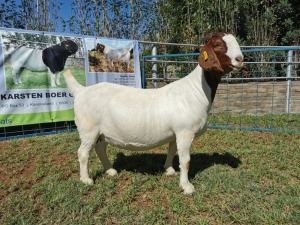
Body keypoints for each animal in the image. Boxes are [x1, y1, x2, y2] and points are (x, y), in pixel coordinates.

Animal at [63, 32, 244, 194]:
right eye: (218, 44)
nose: (240, 59)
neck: (196, 89)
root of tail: (81, 91)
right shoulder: (185, 132)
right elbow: (185, 160)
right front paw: (186, 186)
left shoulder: (175, 133)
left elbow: (172, 150)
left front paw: (169, 170)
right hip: (89, 129)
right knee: (83, 153)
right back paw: (86, 180)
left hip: (103, 132)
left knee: (100, 149)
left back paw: (110, 171)